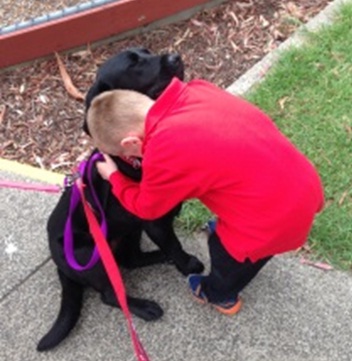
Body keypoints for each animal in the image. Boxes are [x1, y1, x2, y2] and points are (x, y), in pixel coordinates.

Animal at [37, 46, 204, 350]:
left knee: (130, 259)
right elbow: (174, 245)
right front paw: (186, 265)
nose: (175, 57)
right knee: (110, 294)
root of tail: (58, 264)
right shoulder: (154, 222)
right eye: (133, 66)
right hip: (91, 252)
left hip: (128, 233)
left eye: (147, 53)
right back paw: (144, 306)